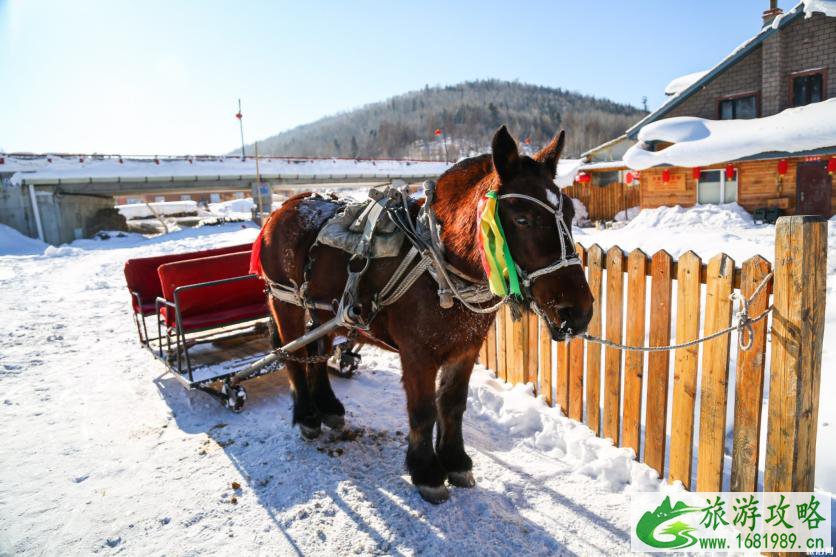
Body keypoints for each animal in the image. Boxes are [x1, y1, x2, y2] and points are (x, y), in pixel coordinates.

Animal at [258, 127, 592, 504]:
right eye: (522, 219)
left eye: (569, 214)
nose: (579, 313)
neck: (438, 266)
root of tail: (284, 207)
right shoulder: (417, 354)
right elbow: (423, 410)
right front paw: (426, 471)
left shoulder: (466, 348)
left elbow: (452, 403)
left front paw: (455, 460)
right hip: (285, 303)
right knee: (293, 355)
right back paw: (307, 416)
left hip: (324, 309)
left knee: (318, 353)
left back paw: (328, 407)